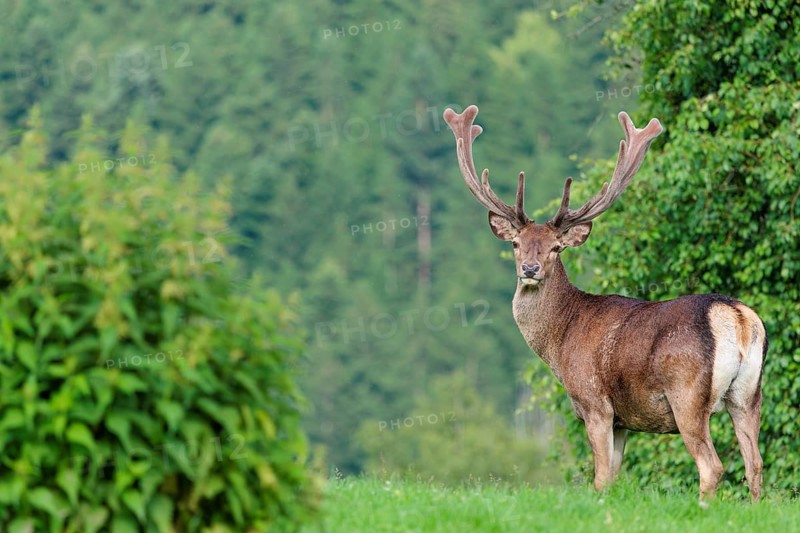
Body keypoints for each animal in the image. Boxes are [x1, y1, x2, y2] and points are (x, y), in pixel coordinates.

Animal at [443, 105, 767, 502]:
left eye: (556, 247)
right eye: (516, 244)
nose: (530, 269)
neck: (559, 343)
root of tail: (737, 317)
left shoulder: (594, 403)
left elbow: (598, 478)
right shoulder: (623, 420)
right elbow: (613, 477)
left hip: (687, 394)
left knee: (712, 466)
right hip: (748, 394)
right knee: (754, 463)